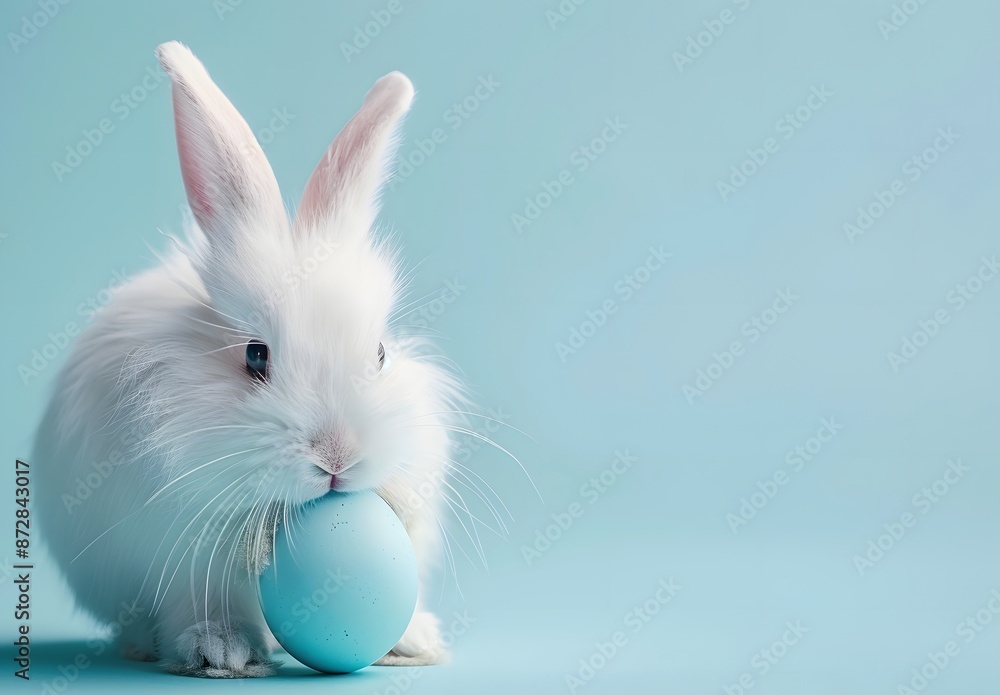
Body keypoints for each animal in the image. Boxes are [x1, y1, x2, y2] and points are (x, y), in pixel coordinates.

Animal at [33, 41, 463, 677]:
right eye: (255, 356)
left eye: (381, 353)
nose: (338, 456)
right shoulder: (183, 546)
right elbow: (202, 598)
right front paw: (222, 650)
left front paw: (411, 642)